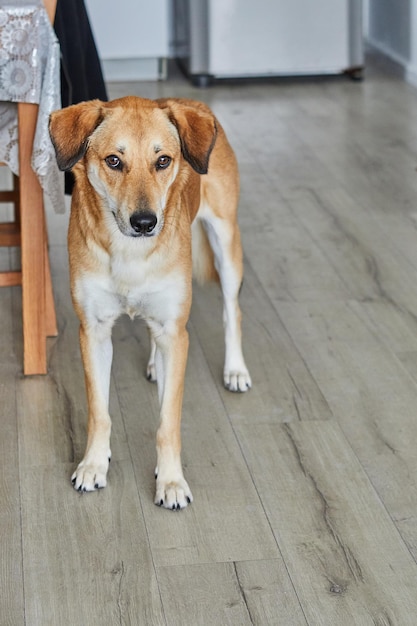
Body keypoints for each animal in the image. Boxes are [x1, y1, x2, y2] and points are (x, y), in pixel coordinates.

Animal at [48, 96, 250, 508]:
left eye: (163, 161)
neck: (131, 251)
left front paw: (171, 481)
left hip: (226, 240)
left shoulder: (175, 332)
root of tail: (195, 104)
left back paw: (236, 369)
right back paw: (157, 364)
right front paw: (94, 465)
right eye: (113, 161)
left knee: (231, 311)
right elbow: (99, 412)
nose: (145, 223)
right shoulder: (93, 332)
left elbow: (167, 422)